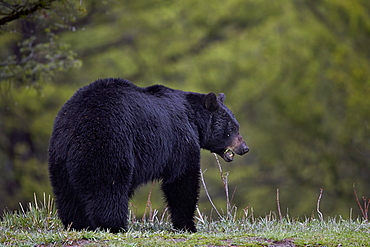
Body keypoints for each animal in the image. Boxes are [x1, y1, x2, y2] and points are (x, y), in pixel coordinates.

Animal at [47, 78, 247, 233]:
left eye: (236, 126)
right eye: (231, 129)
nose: (244, 148)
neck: (194, 120)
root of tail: (77, 123)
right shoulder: (179, 140)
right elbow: (182, 179)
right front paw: (187, 225)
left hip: (60, 156)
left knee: (67, 192)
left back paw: (77, 224)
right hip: (107, 142)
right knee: (108, 186)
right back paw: (114, 225)